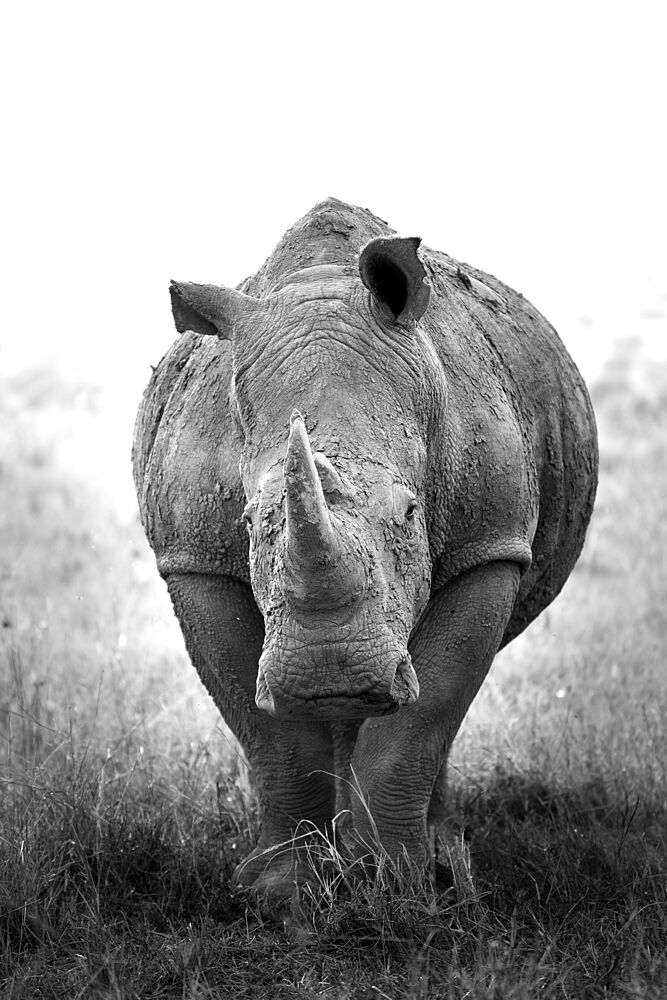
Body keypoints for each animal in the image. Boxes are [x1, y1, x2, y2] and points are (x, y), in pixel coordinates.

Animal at [133, 198, 598, 894]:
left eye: (410, 515)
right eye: (249, 524)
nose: (331, 675)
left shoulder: (491, 544)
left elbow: (425, 712)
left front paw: (405, 884)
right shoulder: (194, 561)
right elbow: (269, 732)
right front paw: (281, 891)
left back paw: (436, 855)